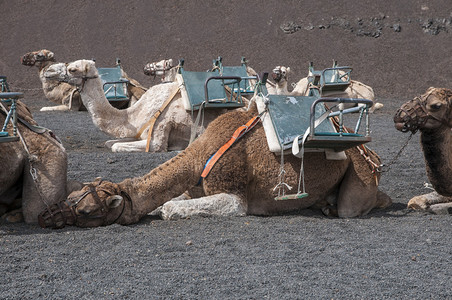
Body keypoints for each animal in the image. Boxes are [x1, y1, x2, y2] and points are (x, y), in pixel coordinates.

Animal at [45, 59, 258, 152]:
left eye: (73, 69)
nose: (48, 71)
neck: (133, 114)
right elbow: (110, 143)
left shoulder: (156, 136)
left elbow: (117, 147)